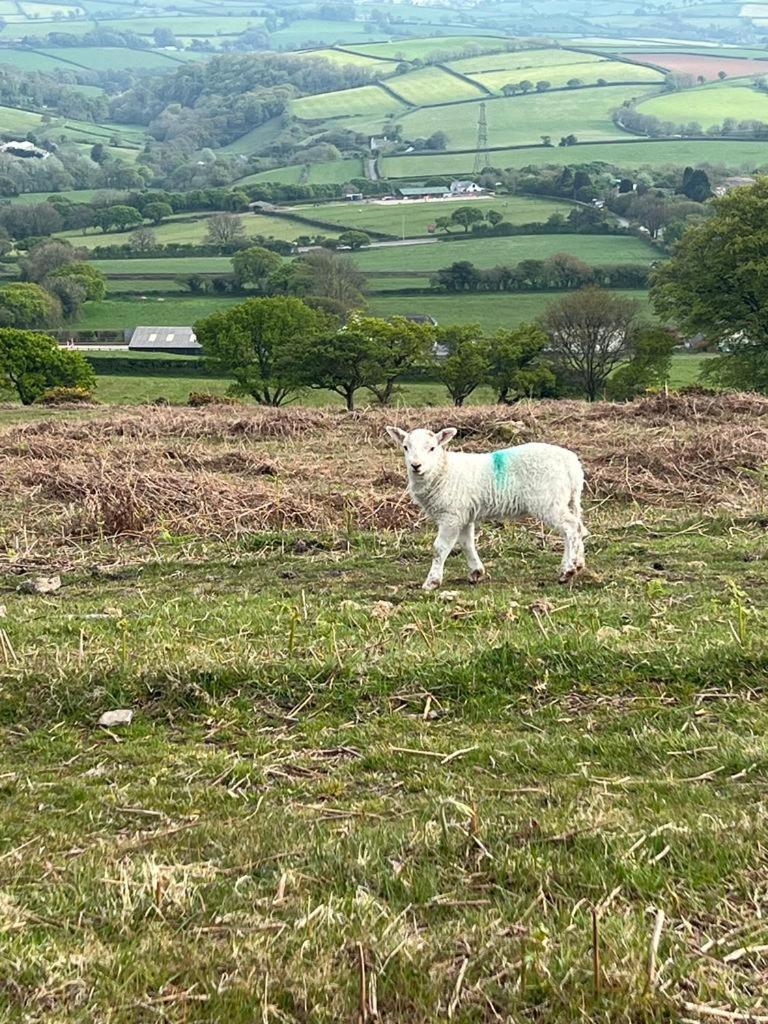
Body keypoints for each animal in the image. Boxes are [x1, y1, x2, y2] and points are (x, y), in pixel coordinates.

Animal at [385, 423, 589, 589]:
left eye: (432, 448)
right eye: (405, 447)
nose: (415, 465)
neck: (443, 471)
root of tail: (572, 465)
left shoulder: (451, 515)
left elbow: (440, 547)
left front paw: (432, 582)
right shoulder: (464, 514)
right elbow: (467, 543)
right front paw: (476, 572)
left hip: (548, 500)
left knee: (571, 527)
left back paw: (568, 571)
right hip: (564, 499)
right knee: (575, 528)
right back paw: (575, 564)